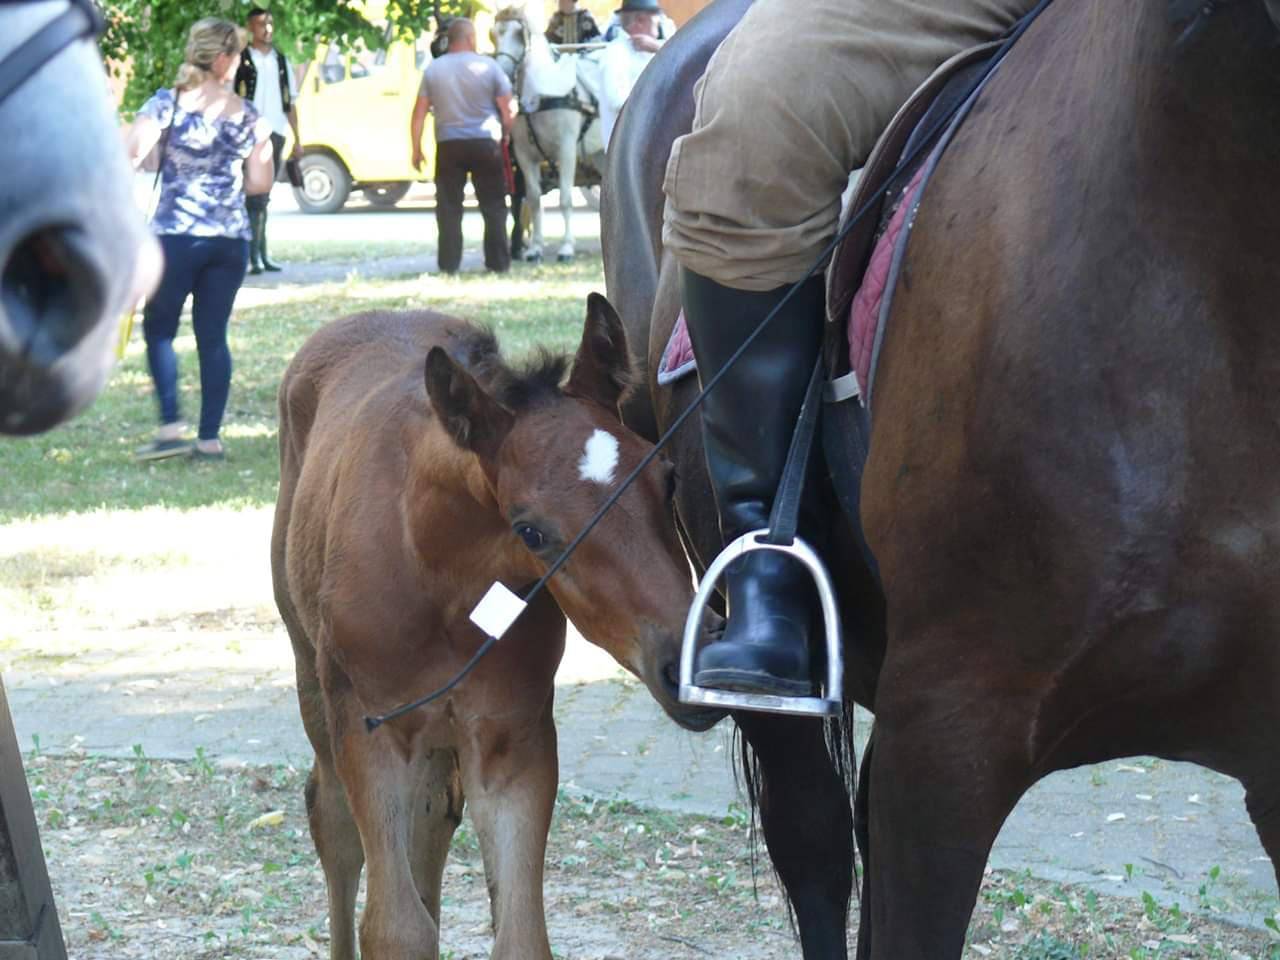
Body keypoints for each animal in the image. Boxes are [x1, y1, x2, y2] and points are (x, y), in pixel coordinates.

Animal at [271, 300, 727, 960]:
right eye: (531, 531)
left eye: (666, 477)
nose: (693, 659)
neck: (435, 574)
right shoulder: (368, 729)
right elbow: (394, 927)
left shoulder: (513, 740)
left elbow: (520, 935)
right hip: (315, 683)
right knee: (331, 820)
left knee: (431, 823)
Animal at [491, 7, 606, 264]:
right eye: (494, 34)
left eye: (519, 34)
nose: (501, 71)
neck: (542, 95)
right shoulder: (524, 155)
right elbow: (533, 199)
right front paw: (535, 248)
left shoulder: (567, 150)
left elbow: (565, 199)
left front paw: (567, 247)